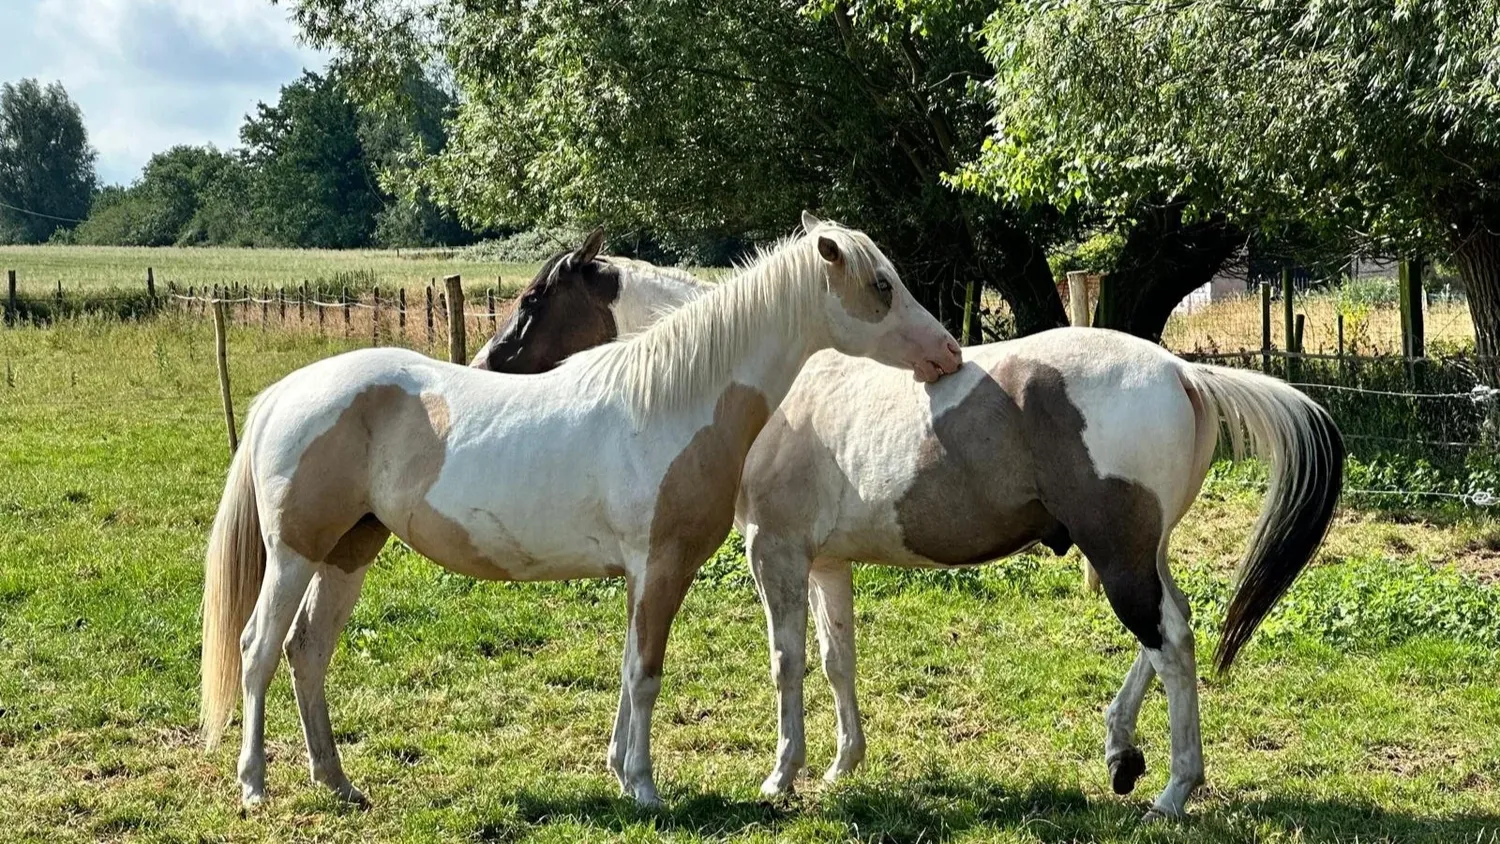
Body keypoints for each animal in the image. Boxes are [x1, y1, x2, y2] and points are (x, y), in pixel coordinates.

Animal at [199, 212, 963, 809]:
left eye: (537, 300)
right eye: (882, 286)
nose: (948, 352)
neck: (673, 400)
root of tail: (285, 393)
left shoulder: (640, 576)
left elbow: (628, 672)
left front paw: (623, 775)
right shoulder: (660, 568)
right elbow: (647, 674)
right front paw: (647, 789)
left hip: (349, 552)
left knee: (307, 650)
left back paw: (337, 783)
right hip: (294, 554)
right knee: (258, 648)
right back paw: (254, 785)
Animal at [473, 262, 1344, 821]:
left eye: (533, 300)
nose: (486, 363)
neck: (759, 390)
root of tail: (1183, 372)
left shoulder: (774, 552)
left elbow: (787, 663)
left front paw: (782, 777)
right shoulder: (826, 563)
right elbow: (837, 660)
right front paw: (841, 765)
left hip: (1120, 554)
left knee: (1169, 643)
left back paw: (1171, 788)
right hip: (1139, 551)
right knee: (1170, 635)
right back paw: (1122, 755)